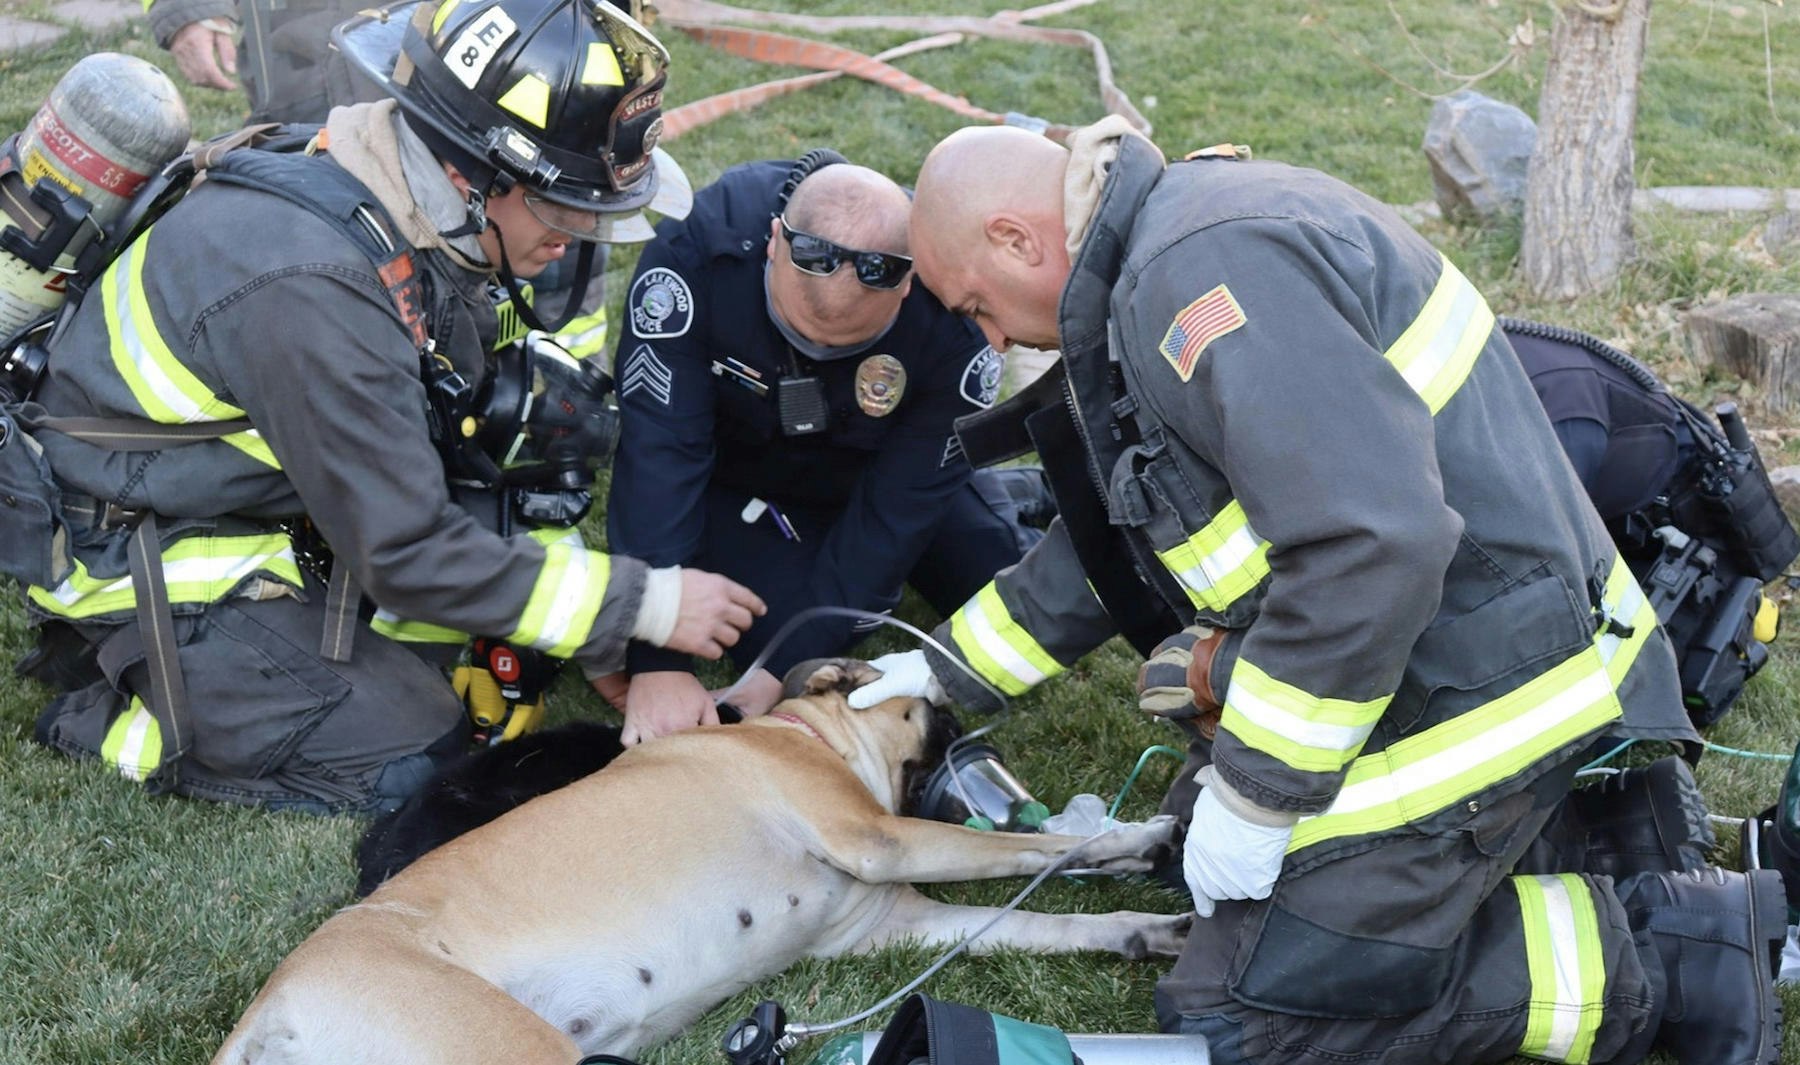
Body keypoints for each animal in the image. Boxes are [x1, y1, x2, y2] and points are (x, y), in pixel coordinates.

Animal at [210, 662, 1188, 1057]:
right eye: (932, 708)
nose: (973, 715)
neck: (806, 735)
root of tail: (269, 1007)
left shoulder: (898, 924)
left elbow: (1040, 915)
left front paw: (1145, 928)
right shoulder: (877, 835)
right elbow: (1036, 847)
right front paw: (1136, 838)